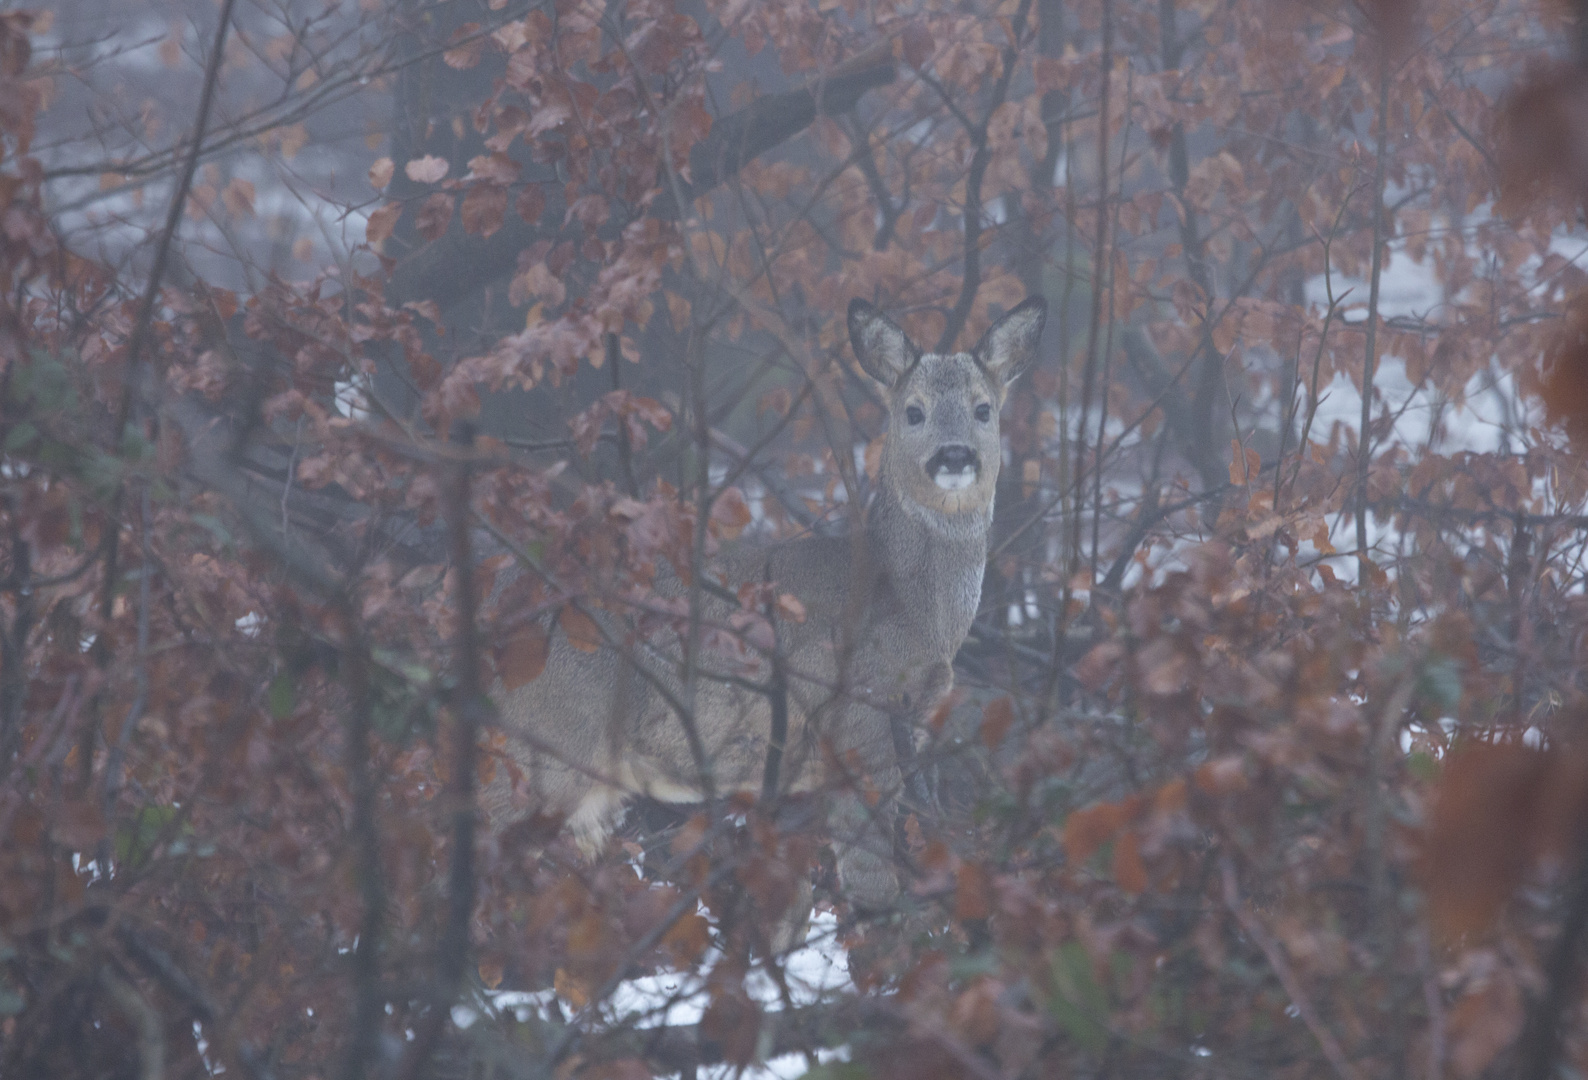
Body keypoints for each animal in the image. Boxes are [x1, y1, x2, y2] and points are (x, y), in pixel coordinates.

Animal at [489, 293, 1048, 908]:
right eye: (914, 412)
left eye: (983, 409)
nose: (954, 456)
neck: (906, 605)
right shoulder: (857, 722)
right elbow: (871, 881)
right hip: (544, 747)